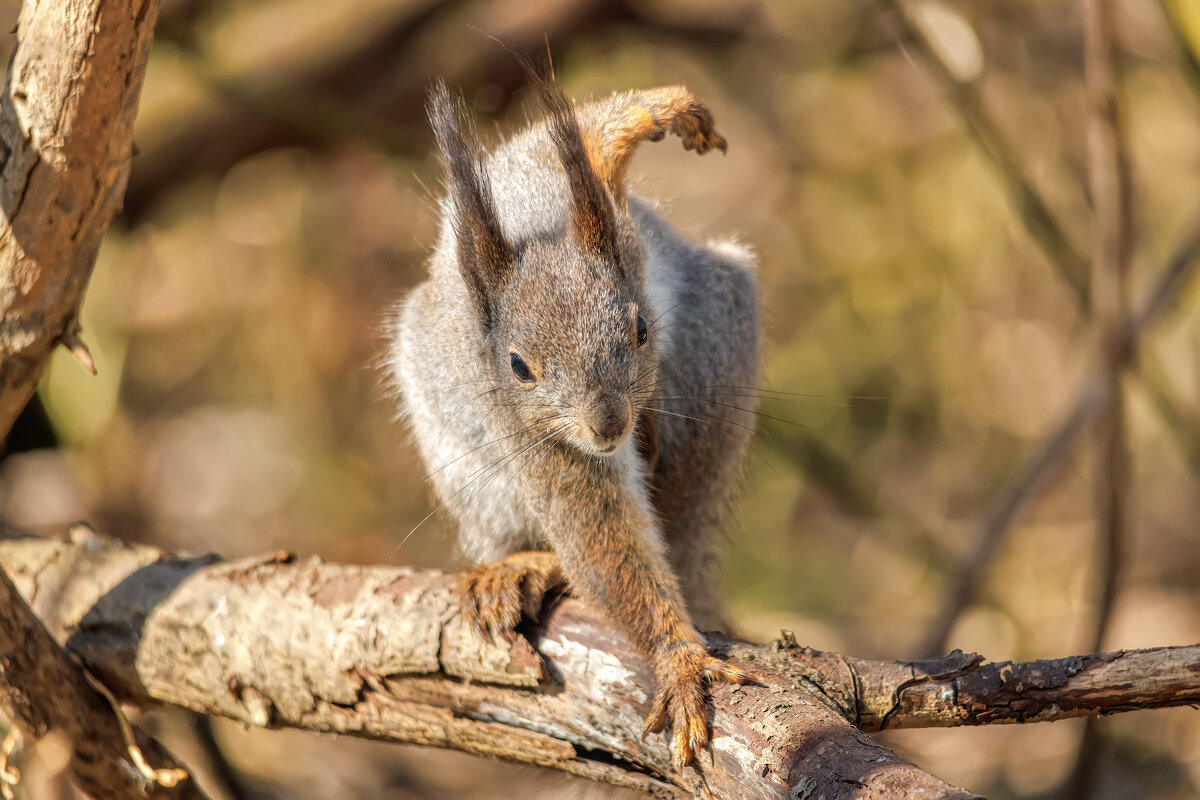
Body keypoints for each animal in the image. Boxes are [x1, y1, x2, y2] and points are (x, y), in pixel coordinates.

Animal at [391, 79, 758, 767]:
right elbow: (599, 536)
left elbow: (578, 140)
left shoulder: (554, 184)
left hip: (718, 350)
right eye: (518, 367)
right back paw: (520, 566)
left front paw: (659, 111)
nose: (608, 427)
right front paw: (680, 661)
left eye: (640, 329)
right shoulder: (536, 437)